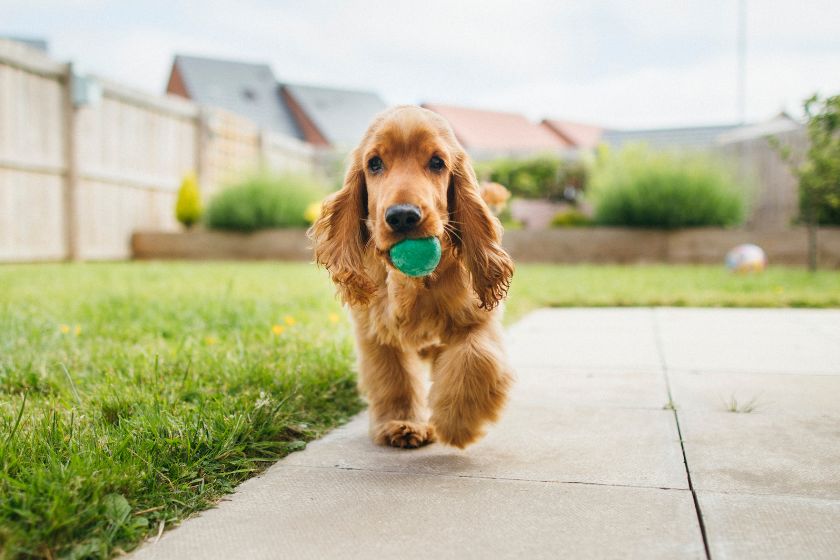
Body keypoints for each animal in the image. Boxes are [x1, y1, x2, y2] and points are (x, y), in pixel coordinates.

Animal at [312, 105, 516, 448]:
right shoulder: (376, 331)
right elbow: (394, 377)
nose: (403, 216)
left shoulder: (477, 318)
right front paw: (402, 422)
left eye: (437, 162)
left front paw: (457, 421)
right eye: (374, 163)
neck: (413, 283)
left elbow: (475, 358)